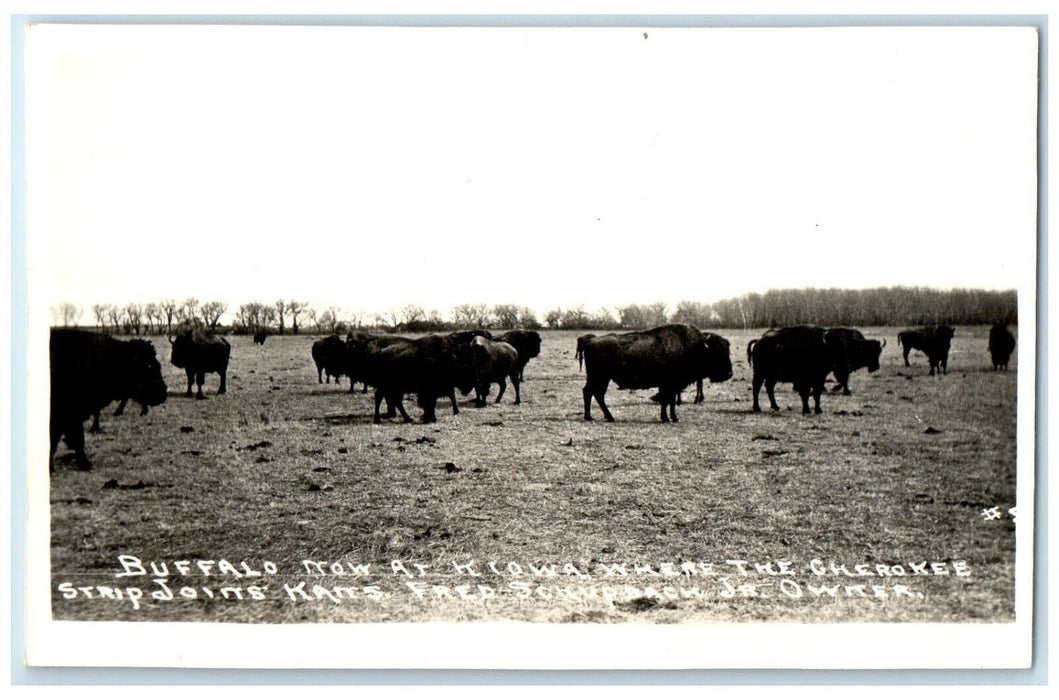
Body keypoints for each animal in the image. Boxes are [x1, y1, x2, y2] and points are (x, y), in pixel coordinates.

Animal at [50, 329, 167, 471]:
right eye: (148, 365)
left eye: (158, 365)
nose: (163, 392)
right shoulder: (68, 415)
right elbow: (71, 439)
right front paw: (84, 464)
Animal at [580, 324, 733, 423]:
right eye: (716, 352)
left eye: (727, 351)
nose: (729, 373)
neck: (693, 347)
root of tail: (590, 341)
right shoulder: (668, 384)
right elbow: (666, 400)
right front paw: (667, 418)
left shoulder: (672, 385)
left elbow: (670, 401)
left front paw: (672, 418)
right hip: (599, 377)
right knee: (591, 393)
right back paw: (595, 417)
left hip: (601, 378)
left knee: (594, 394)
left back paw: (603, 417)